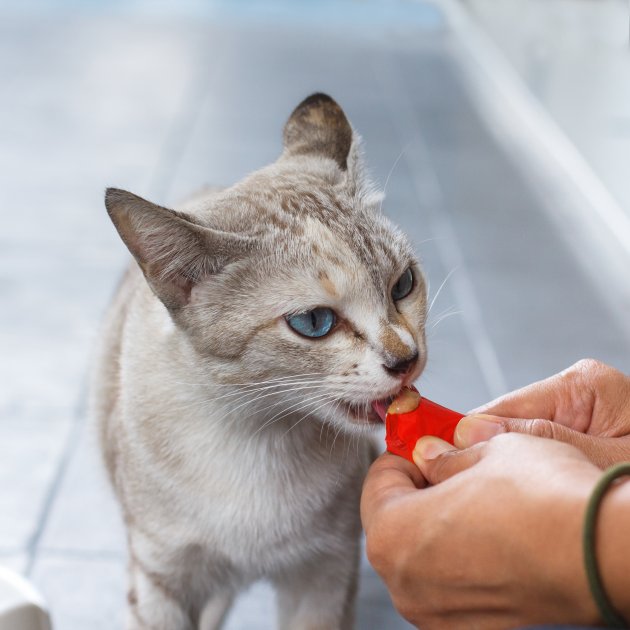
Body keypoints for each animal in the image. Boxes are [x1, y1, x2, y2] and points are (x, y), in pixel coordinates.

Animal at [92, 94, 430, 630]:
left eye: (402, 285)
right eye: (314, 322)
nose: (407, 358)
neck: (257, 435)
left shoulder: (324, 573)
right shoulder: (161, 577)